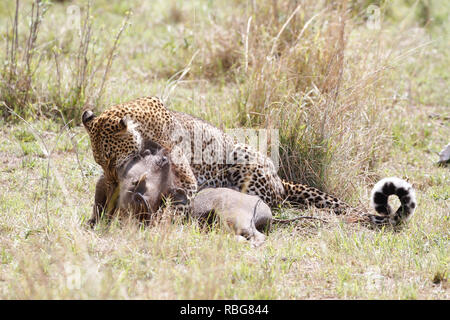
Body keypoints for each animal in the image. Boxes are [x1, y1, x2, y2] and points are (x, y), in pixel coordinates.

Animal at [81, 96, 418, 226]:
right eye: (99, 162)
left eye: (111, 159)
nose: (111, 179)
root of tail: (281, 179)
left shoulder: (186, 179)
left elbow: (176, 198)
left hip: (243, 153)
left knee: (271, 201)